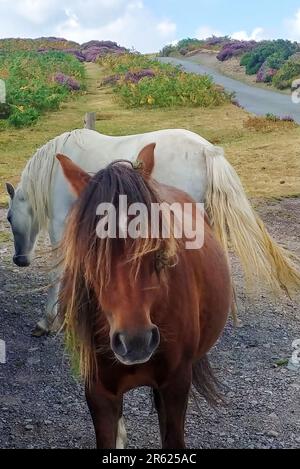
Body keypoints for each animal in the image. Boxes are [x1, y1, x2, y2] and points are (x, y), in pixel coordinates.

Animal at [5, 127, 300, 332]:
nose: (19, 260)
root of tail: (206, 150)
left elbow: (59, 270)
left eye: (8, 217)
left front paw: (49, 320)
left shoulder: (61, 222)